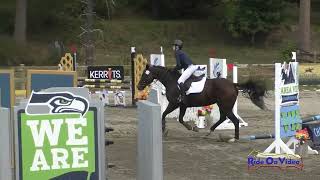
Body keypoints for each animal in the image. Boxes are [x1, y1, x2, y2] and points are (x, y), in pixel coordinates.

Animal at [136, 64, 266, 140]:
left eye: (144, 75)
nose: (139, 87)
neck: (171, 81)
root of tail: (233, 84)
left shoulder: (174, 104)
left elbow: (163, 114)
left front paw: (163, 129)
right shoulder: (183, 105)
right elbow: (180, 119)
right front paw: (193, 128)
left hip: (225, 106)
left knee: (234, 120)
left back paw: (235, 138)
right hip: (222, 105)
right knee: (223, 118)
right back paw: (208, 132)